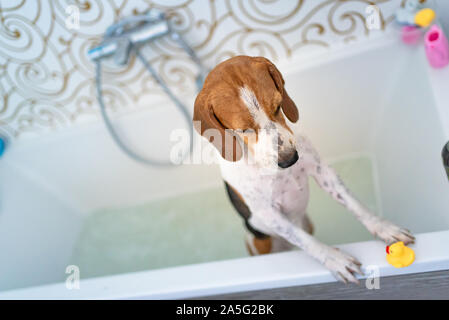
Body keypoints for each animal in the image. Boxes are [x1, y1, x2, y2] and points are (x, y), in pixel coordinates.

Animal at [192, 56, 412, 284]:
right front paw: (333, 258)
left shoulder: (322, 171)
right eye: (244, 129)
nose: (290, 159)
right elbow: (306, 241)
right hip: (258, 241)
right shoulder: (269, 214)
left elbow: (354, 204)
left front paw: (383, 227)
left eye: (278, 106)